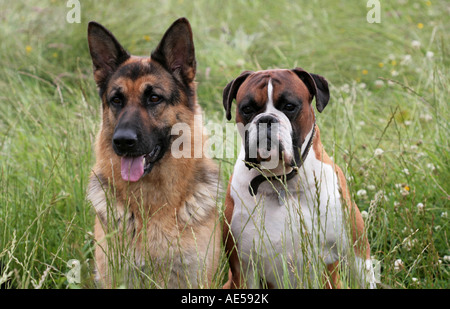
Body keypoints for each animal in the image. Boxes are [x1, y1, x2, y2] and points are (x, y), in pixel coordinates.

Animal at [222, 68, 376, 288]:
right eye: (247, 109)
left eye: (289, 107)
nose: (266, 119)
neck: (282, 182)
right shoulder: (243, 269)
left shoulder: (355, 255)